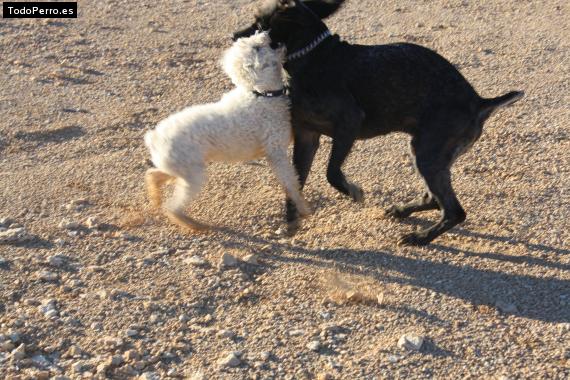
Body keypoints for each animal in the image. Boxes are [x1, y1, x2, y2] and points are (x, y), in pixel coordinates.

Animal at [142, 32, 310, 230]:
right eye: (257, 48)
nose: (266, 33)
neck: (259, 93)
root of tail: (154, 138)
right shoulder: (275, 152)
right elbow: (291, 183)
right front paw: (304, 209)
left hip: (178, 167)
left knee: (152, 174)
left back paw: (156, 198)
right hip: (192, 174)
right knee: (173, 207)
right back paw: (195, 225)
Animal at [232, 0, 520, 245]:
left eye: (260, 25)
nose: (233, 35)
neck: (313, 59)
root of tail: (479, 102)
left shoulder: (348, 124)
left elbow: (332, 173)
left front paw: (353, 192)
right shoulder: (306, 138)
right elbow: (294, 185)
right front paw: (291, 223)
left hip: (428, 153)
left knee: (454, 211)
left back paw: (421, 238)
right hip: (428, 154)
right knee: (434, 199)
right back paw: (403, 211)